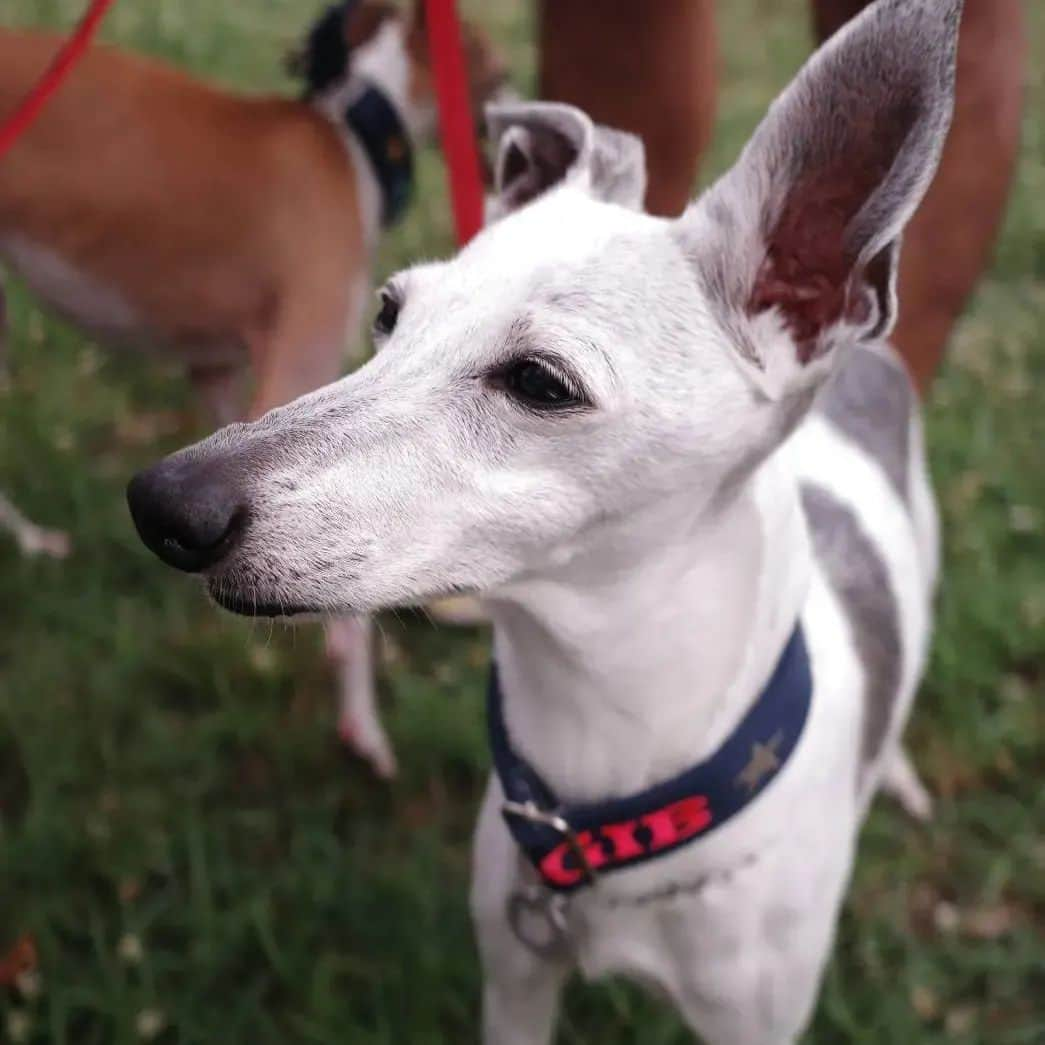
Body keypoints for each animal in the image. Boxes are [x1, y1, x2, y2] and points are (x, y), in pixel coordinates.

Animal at [130, 2, 961, 1036]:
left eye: (539, 381)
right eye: (388, 312)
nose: (164, 503)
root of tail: (871, 359)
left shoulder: (752, 1020)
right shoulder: (515, 978)